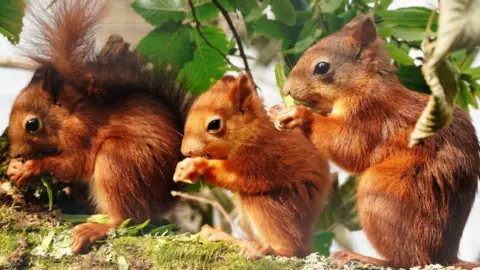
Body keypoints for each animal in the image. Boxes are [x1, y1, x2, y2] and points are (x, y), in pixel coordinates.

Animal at [5, 0, 193, 253]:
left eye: (32, 124)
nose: (15, 153)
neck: (70, 116)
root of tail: (163, 199)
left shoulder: (84, 134)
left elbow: (76, 164)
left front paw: (29, 168)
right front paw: (14, 167)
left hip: (119, 159)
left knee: (125, 218)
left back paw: (93, 229)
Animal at [172, 74, 330, 260]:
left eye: (214, 124)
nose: (185, 151)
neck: (251, 130)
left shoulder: (263, 157)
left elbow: (240, 176)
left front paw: (199, 166)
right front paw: (184, 167)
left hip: (275, 205)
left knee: (292, 249)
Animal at [272, 14, 480, 268]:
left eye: (322, 67)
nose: (286, 90)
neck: (364, 85)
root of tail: (445, 255)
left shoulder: (370, 118)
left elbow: (348, 147)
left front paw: (300, 115)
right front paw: (276, 110)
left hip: (384, 194)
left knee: (408, 259)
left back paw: (362, 256)